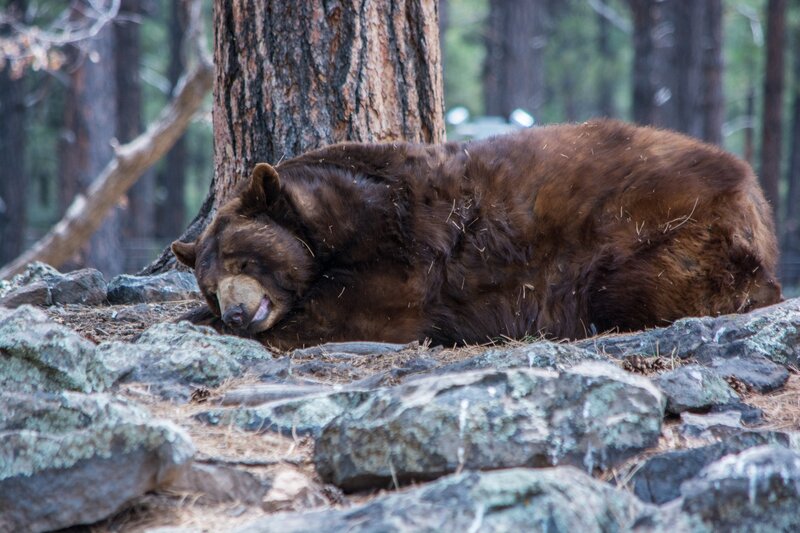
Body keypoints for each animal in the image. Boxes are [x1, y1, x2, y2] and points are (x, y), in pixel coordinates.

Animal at [172, 119, 782, 350]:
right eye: (210, 284)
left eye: (243, 259)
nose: (234, 313)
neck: (336, 219)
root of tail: (757, 196)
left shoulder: (403, 245)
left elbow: (360, 311)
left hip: (666, 236)